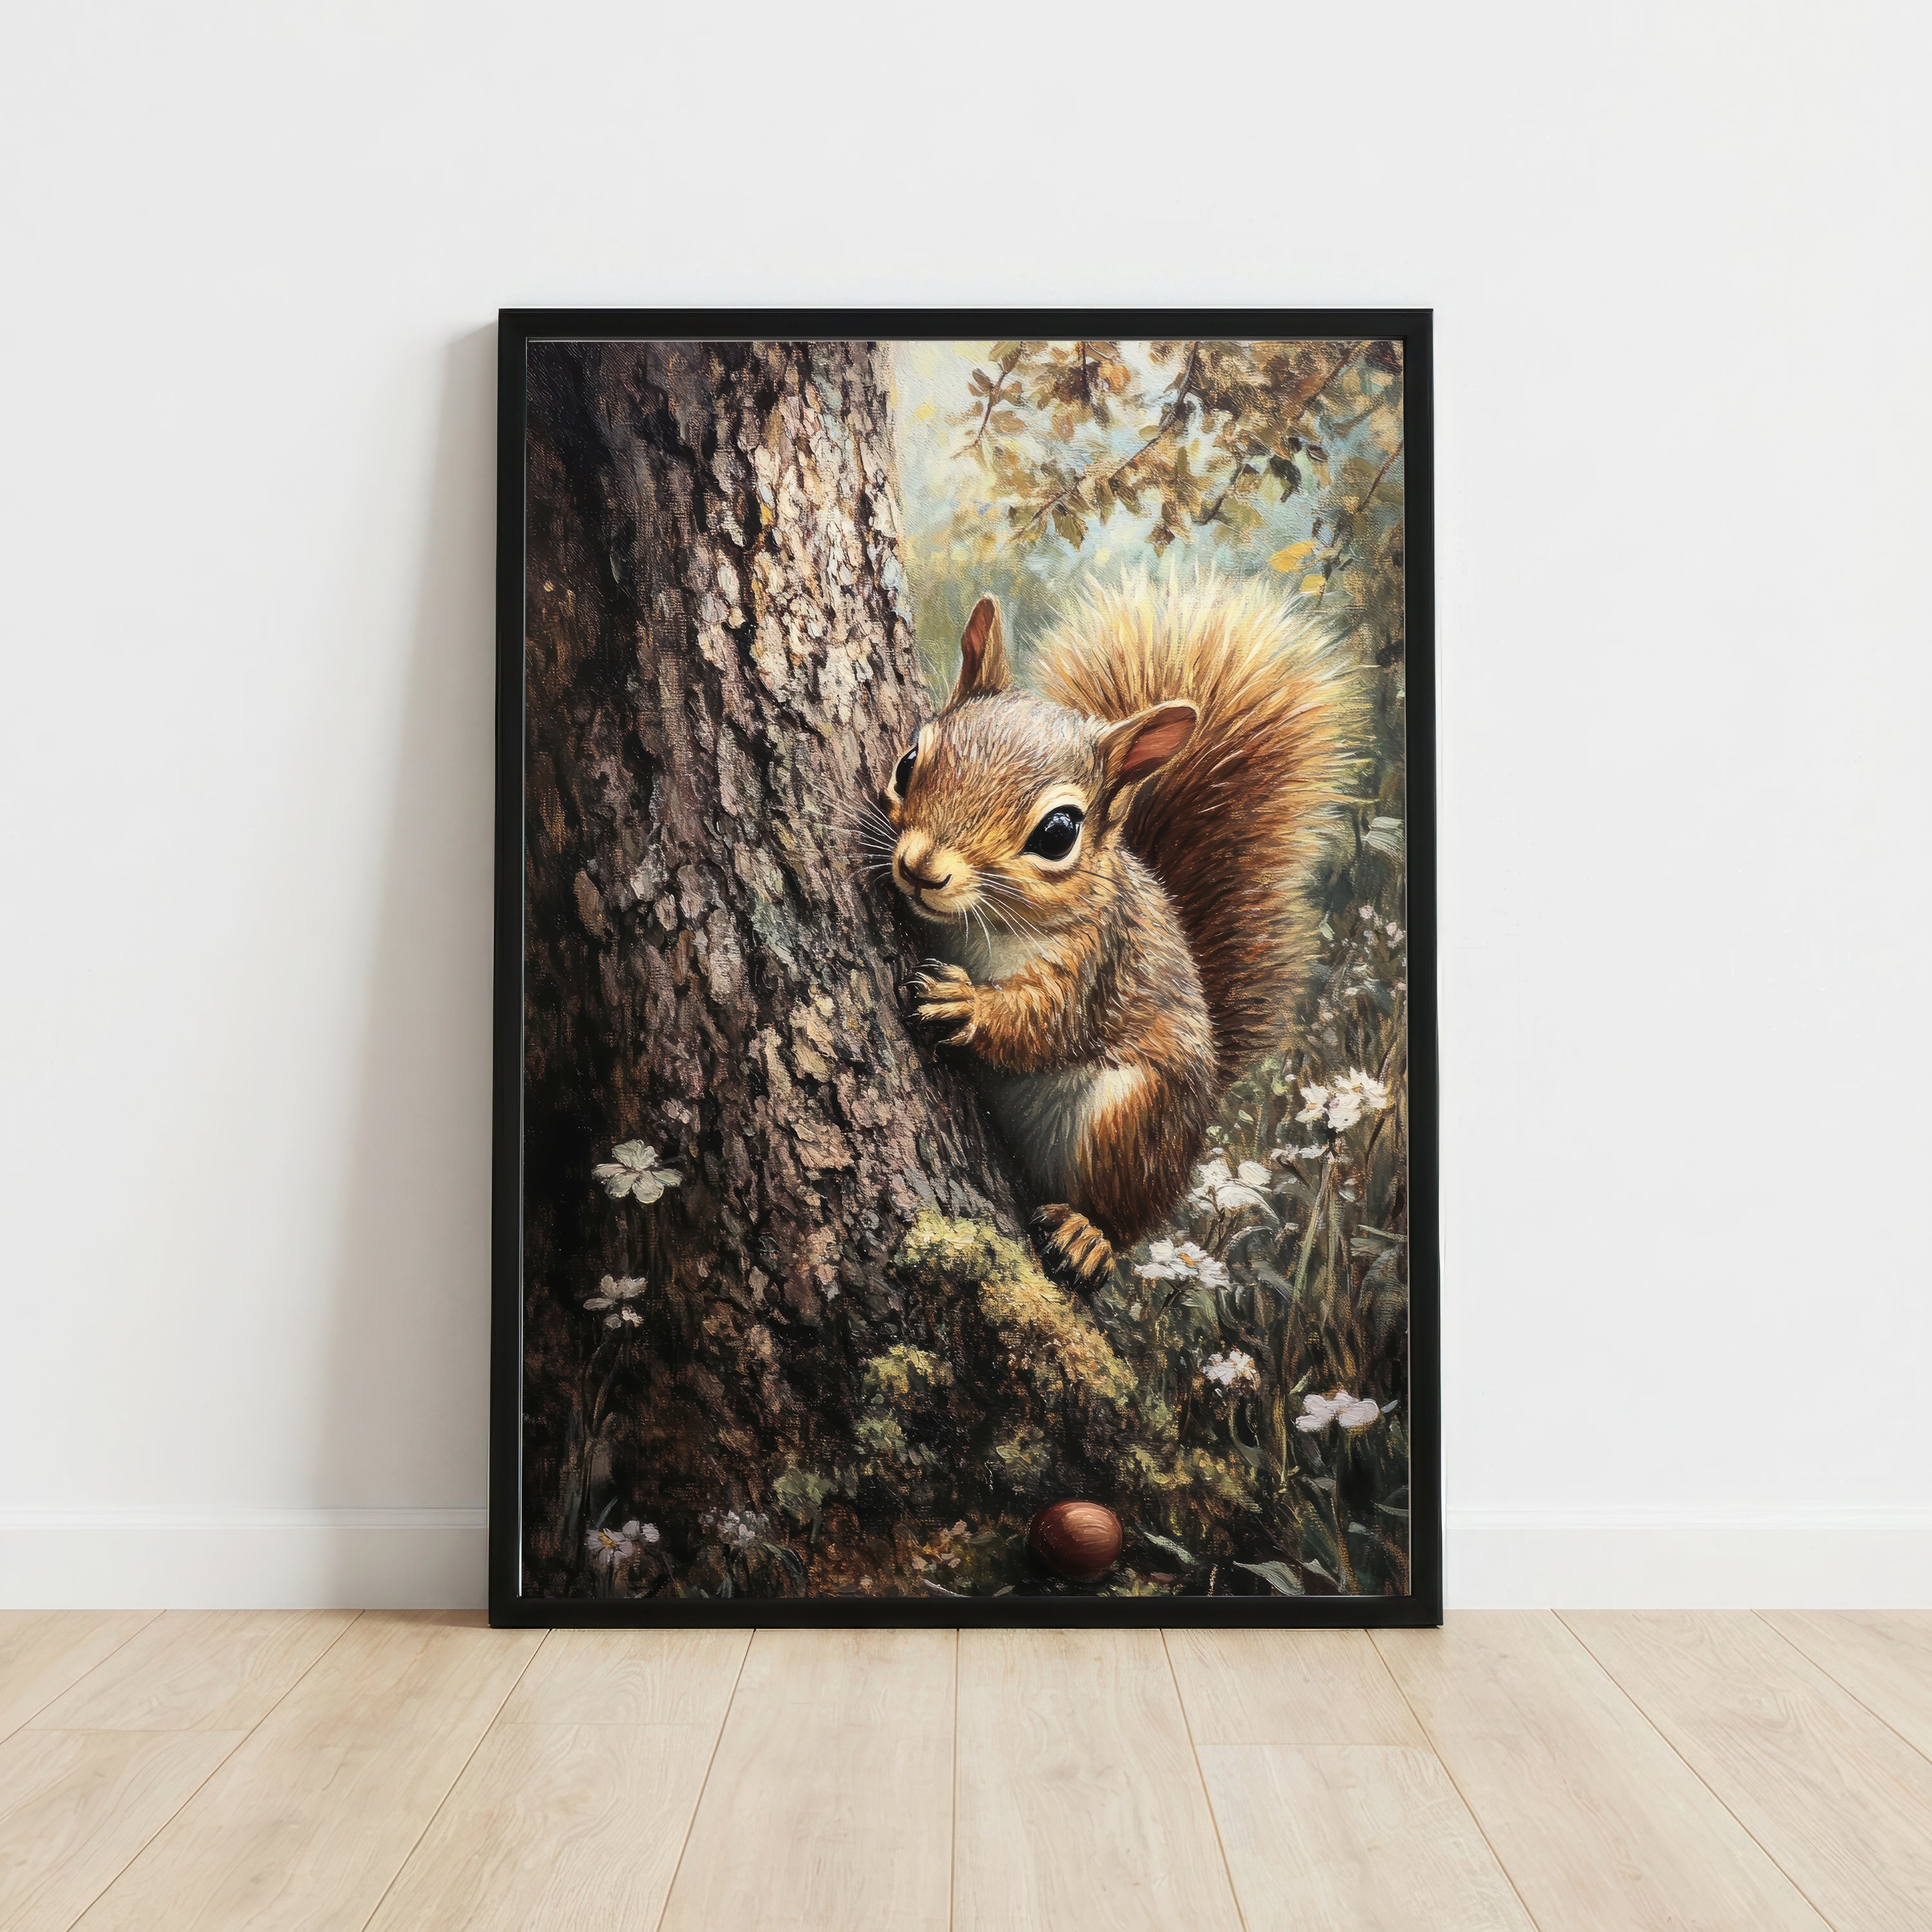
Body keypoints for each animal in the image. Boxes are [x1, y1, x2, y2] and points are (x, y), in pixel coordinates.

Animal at [887, 570, 1351, 1286]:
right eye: (908, 762)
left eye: (1058, 833)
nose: (920, 868)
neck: (982, 926)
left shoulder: (1097, 964)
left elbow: (1045, 1022)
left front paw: (963, 1002)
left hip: (1133, 1121)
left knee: (1128, 1216)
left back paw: (1090, 1237)